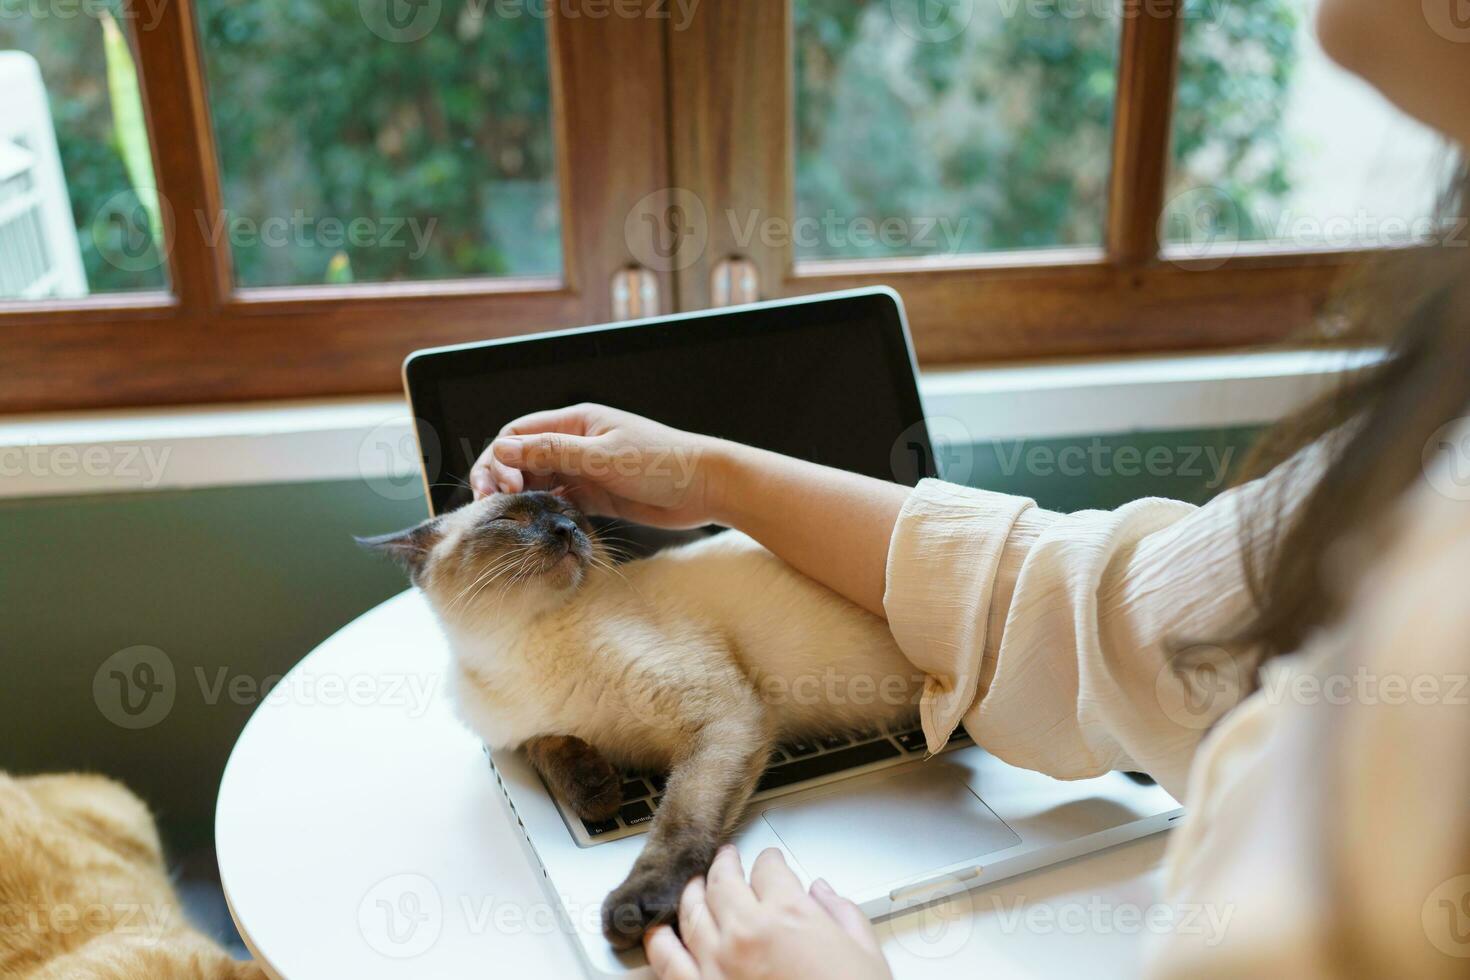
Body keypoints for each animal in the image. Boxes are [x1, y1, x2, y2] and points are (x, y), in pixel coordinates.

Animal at [360, 490, 917, 952]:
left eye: (572, 513)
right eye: (509, 519)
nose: (566, 528)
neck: (518, 651)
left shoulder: (723, 714)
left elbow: (677, 822)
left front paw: (635, 908)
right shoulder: (522, 735)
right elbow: (554, 751)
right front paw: (601, 791)